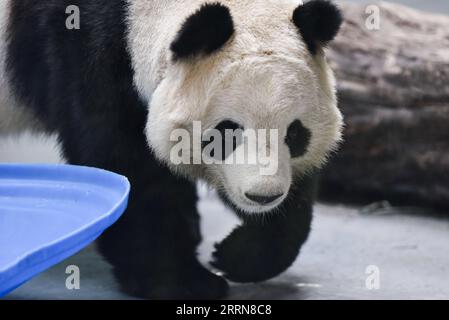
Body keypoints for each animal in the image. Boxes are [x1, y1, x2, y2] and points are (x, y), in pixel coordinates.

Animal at [0, 0, 342, 300]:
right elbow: (125, 165)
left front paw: (239, 255)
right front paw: (184, 282)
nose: (263, 197)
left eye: (294, 133)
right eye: (227, 131)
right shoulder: (82, 50)